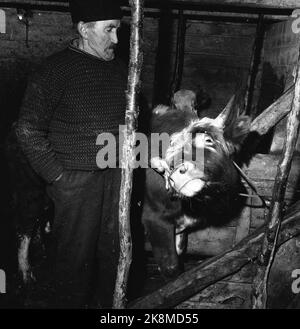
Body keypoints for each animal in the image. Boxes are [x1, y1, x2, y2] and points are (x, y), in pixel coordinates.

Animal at [142, 94, 252, 276]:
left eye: (208, 140)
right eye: (172, 146)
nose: (177, 173)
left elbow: (180, 251)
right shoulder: (154, 218)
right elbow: (171, 266)